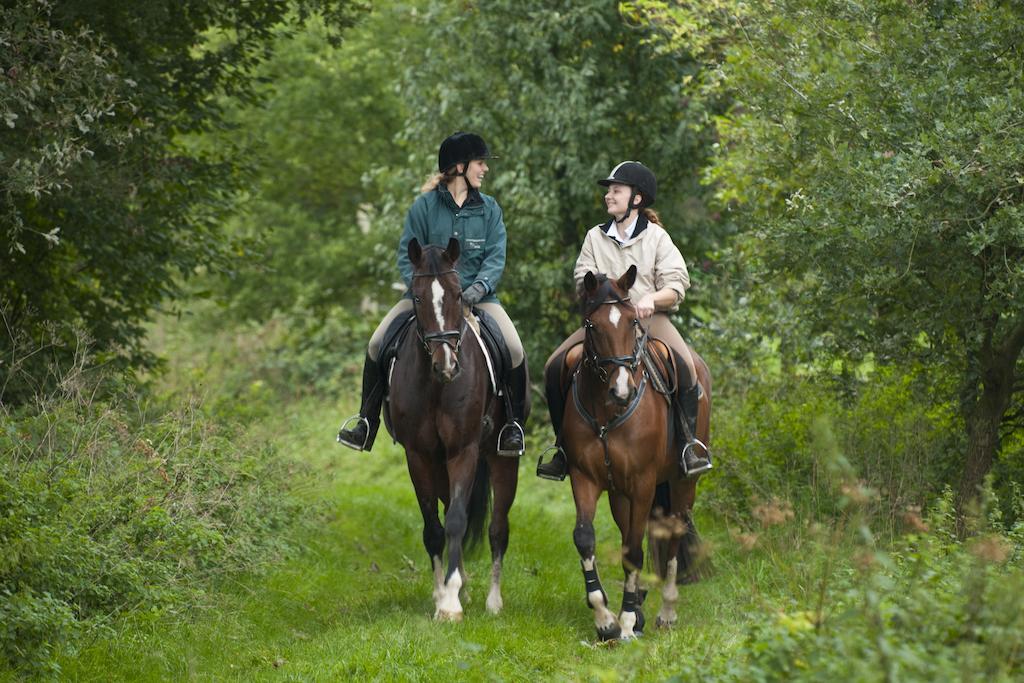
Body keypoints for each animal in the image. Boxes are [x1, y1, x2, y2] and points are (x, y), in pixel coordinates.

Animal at [387, 237, 524, 622]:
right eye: (418, 297)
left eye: (458, 294)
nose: (446, 365)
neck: (436, 386)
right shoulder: (419, 455)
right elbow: (435, 527)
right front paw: (442, 594)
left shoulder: (464, 450)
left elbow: (458, 521)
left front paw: (450, 603)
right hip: (439, 464)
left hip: (502, 459)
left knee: (498, 528)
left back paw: (493, 601)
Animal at [561, 266, 712, 643]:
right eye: (593, 325)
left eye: (632, 321)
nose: (622, 391)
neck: (607, 412)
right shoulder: (584, 477)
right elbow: (586, 538)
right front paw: (605, 619)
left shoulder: (644, 482)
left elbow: (633, 547)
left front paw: (627, 621)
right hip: (620, 492)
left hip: (682, 482)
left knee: (673, 534)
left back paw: (666, 612)